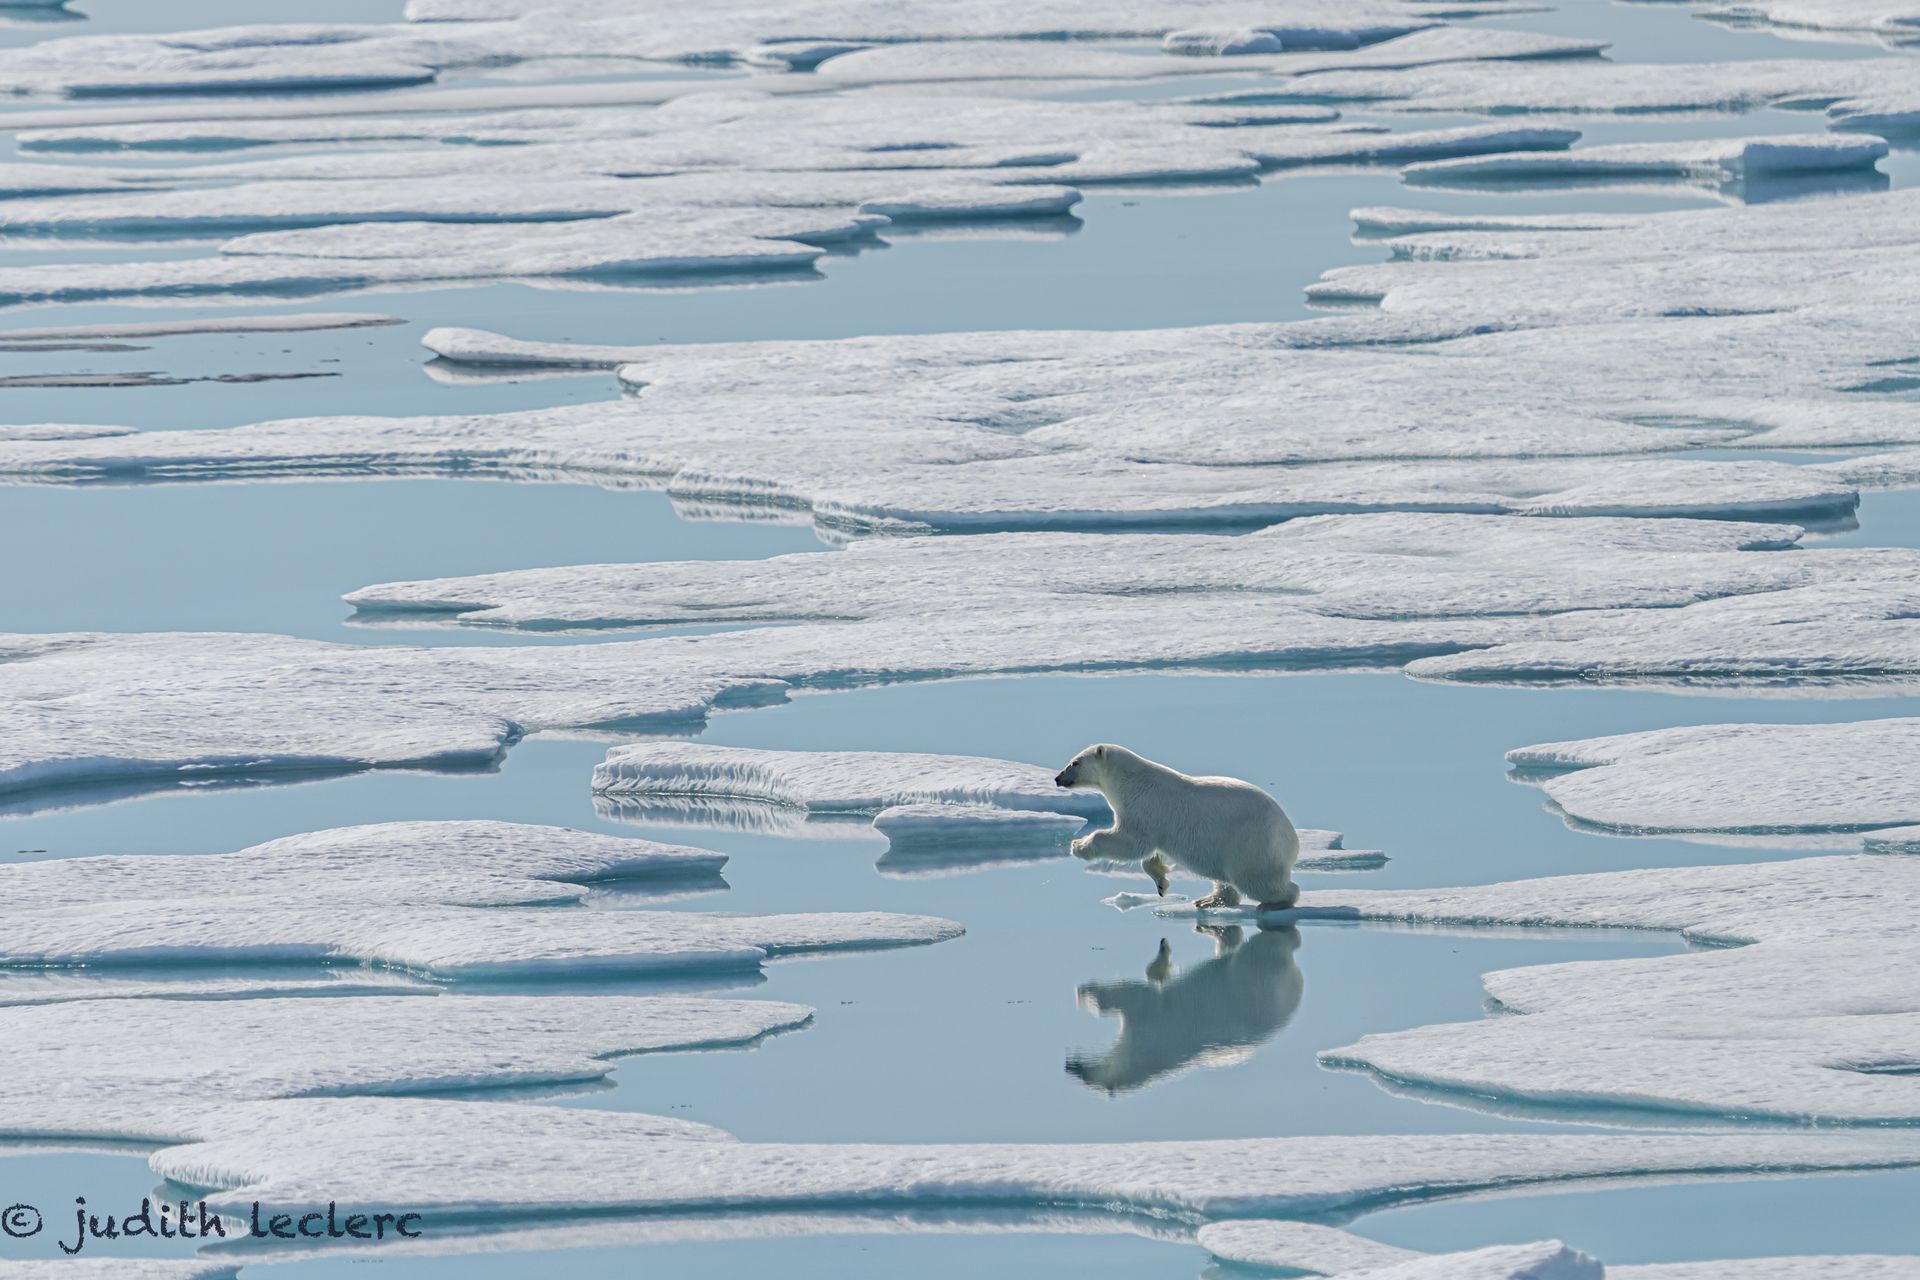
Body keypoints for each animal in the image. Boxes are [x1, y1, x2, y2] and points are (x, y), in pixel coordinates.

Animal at [1053, 743, 1300, 912]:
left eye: (1075, 762)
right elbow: (1149, 853)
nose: (1057, 777)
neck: (1128, 780)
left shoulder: (1143, 806)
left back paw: (1276, 902)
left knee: (1257, 878)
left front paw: (1078, 845)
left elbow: (1133, 842)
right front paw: (1161, 882)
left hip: (1250, 841)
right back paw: (1209, 900)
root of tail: (1290, 835)